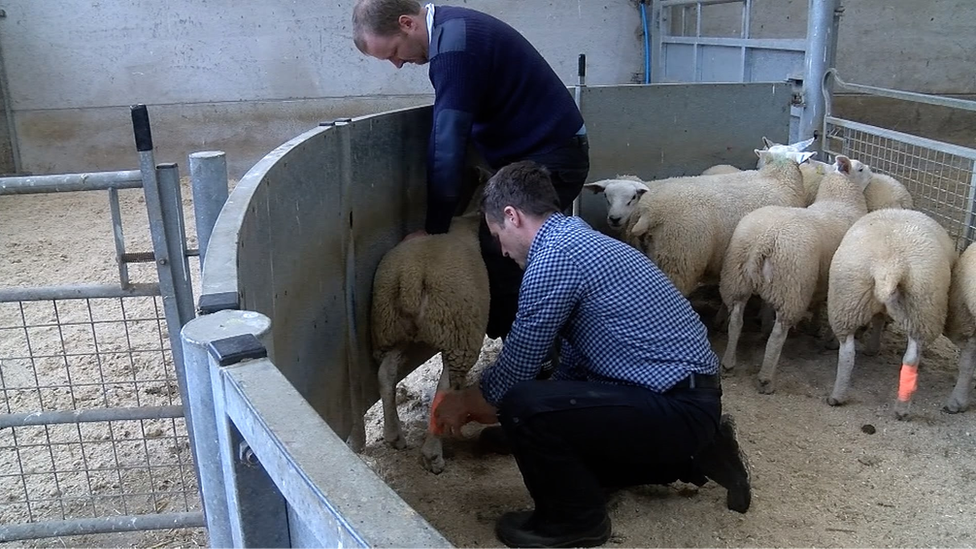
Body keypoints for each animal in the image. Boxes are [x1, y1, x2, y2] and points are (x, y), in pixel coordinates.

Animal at [368, 212, 488, 474]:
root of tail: (412, 276)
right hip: (459, 335)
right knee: (444, 389)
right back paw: (433, 454)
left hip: (389, 329)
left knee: (385, 375)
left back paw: (394, 435)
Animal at [720, 155, 872, 394]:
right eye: (860, 169)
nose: (873, 172)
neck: (840, 201)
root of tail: (763, 240)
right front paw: (826, 335)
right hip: (791, 286)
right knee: (777, 335)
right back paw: (766, 379)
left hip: (736, 279)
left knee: (735, 321)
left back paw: (728, 363)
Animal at [824, 208, 952, 418]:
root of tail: (890, 266)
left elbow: (878, 319)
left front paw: (872, 347)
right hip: (924, 310)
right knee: (911, 358)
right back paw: (902, 409)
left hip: (848, 301)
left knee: (847, 354)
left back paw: (838, 397)